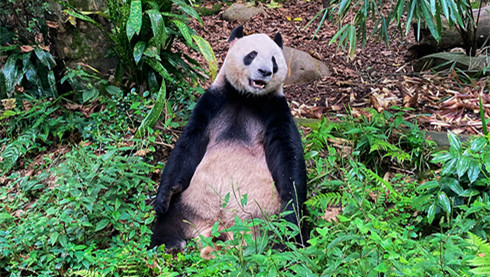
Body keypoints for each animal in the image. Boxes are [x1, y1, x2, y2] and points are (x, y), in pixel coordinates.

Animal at [151, 25, 308, 254]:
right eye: (251, 55)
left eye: (274, 61)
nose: (265, 72)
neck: (247, 97)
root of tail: (221, 225)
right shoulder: (213, 103)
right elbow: (188, 147)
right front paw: (162, 198)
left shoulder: (275, 109)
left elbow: (288, 156)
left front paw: (291, 212)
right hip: (190, 201)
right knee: (168, 219)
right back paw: (170, 243)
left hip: (264, 215)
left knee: (283, 236)